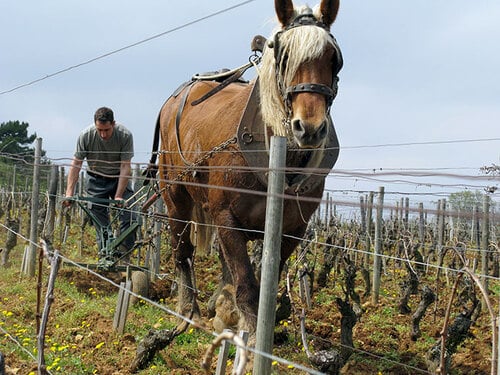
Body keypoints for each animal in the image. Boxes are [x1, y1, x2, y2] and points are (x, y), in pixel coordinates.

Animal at [150, 0, 342, 336]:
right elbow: (248, 286)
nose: (310, 128)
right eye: (284, 56)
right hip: (175, 195)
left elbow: (263, 282)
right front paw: (251, 338)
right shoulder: (226, 215)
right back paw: (188, 311)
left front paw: (234, 316)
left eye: (333, 58)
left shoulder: (293, 228)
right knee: (182, 251)